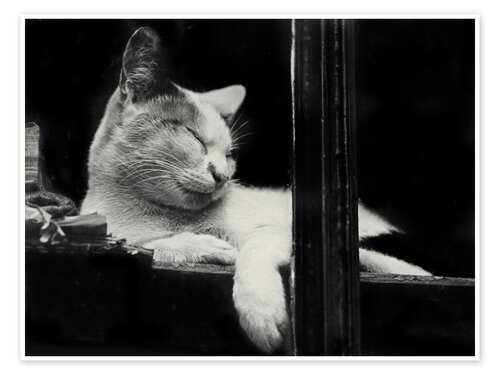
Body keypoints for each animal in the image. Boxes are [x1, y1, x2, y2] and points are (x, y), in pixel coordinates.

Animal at [81, 27, 430, 356]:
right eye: (194, 137)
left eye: (230, 154)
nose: (222, 176)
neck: (153, 213)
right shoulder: (111, 233)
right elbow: (143, 243)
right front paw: (202, 245)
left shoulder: (286, 233)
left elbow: (253, 248)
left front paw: (260, 311)